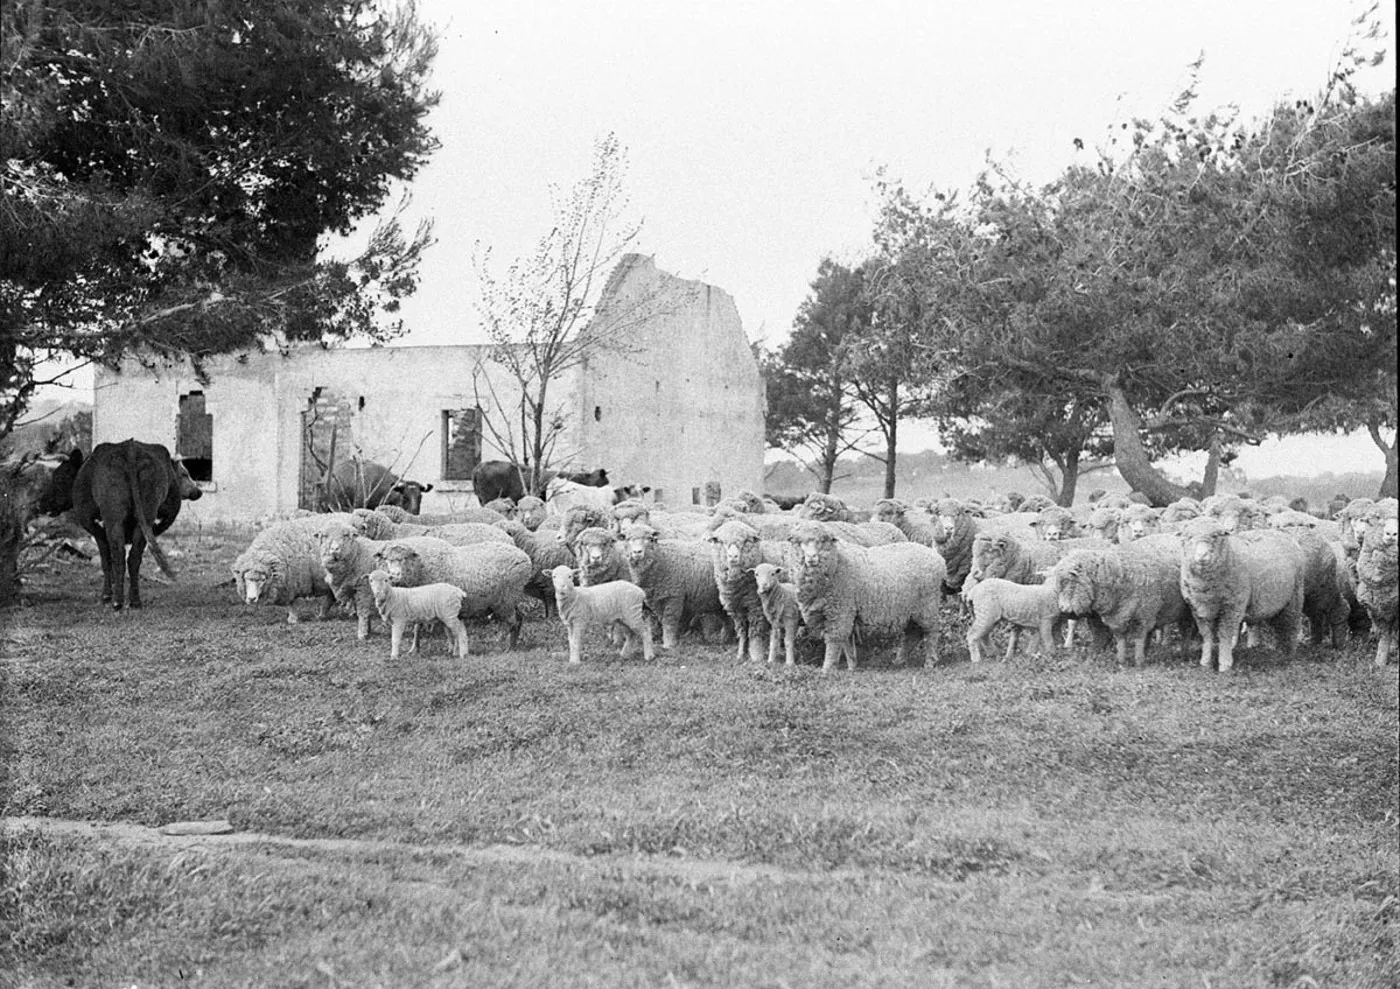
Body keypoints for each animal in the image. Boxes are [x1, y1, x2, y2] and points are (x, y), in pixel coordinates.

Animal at [373, 537, 533, 650]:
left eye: (404, 559)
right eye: (386, 559)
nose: (394, 575)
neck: (420, 566)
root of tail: (525, 557)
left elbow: (445, 629)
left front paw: (451, 647)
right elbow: (418, 627)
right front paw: (414, 649)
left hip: (506, 600)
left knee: (512, 622)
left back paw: (504, 646)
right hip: (511, 599)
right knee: (519, 618)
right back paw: (513, 646)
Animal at [708, 519, 788, 663]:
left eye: (746, 541)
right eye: (720, 541)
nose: (733, 556)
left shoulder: (757, 608)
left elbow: (755, 633)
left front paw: (756, 656)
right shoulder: (736, 609)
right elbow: (743, 632)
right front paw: (741, 654)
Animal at [786, 520, 945, 671]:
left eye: (823, 540)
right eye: (798, 542)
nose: (811, 557)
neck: (836, 563)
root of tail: (938, 558)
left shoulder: (840, 610)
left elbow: (834, 640)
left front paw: (827, 668)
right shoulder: (844, 612)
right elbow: (847, 643)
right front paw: (852, 666)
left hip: (928, 605)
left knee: (932, 631)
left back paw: (930, 662)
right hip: (910, 610)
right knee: (912, 634)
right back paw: (899, 660)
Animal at [1048, 534, 1190, 666]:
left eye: (1070, 583)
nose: (1064, 611)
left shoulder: (1144, 615)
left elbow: (1139, 638)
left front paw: (1139, 662)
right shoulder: (1117, 616)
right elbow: (1120, 639)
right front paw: (1121, 661)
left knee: (1184, 629)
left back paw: (1183, 651)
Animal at [1178, 517, 1307, 673]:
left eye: (1216, 536)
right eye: (1189, 537)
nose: (1202, 556)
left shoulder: (1232, 607)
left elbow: (1225, 634)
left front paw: (1225, 664)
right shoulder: (1198, 609)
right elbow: (1207, 635)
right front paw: (1205, 663)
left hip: (1295, 596)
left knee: (1291, 624)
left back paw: (1289, 654)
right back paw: (1276, 651)